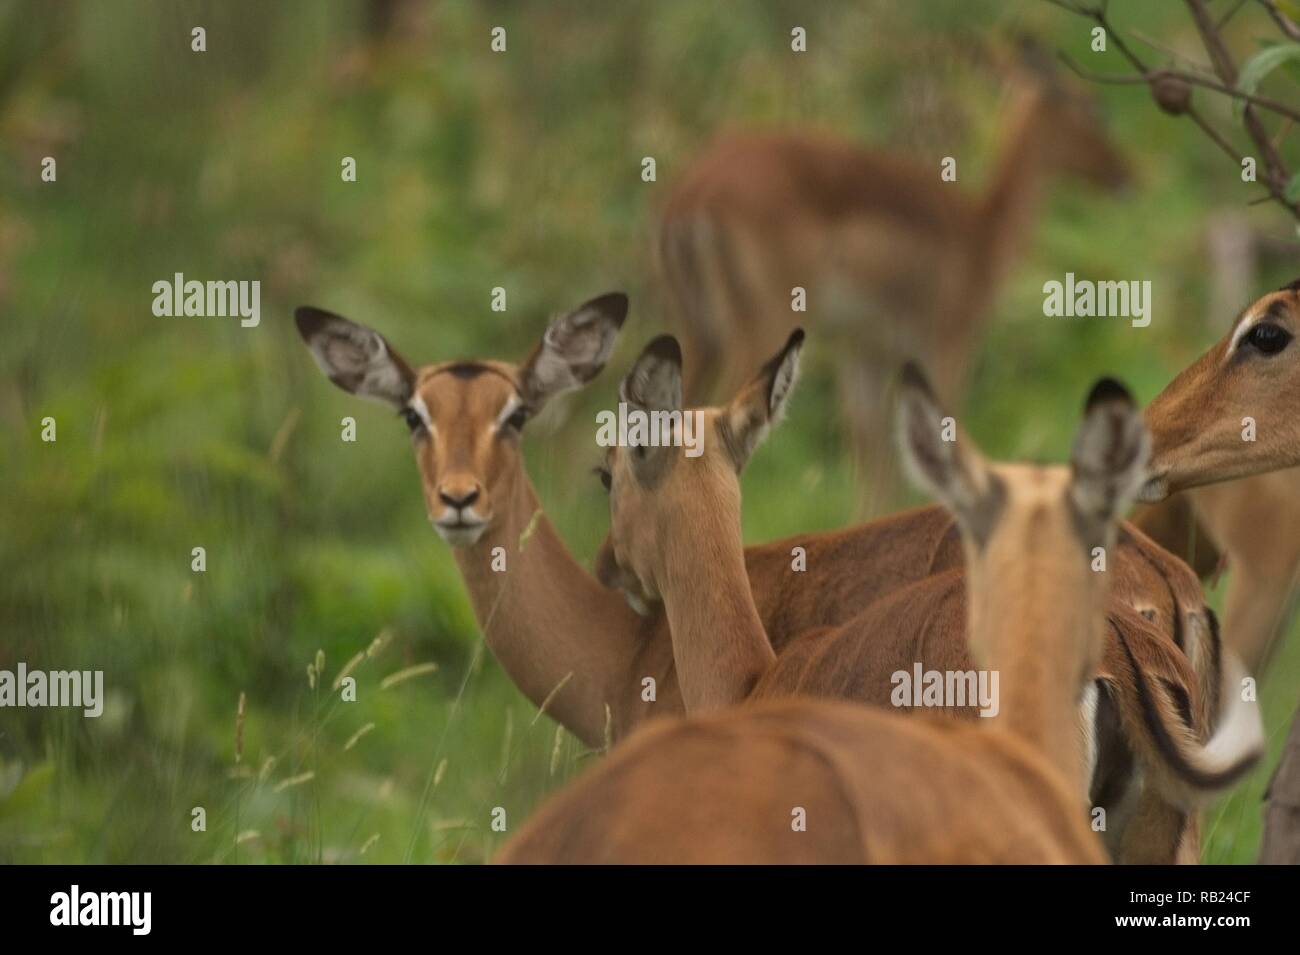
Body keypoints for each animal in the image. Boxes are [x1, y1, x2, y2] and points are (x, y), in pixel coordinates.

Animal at [657, 43, 1130, 507]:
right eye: (1092, 106)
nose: (1126, 174)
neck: (984, 230)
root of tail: (693, 192)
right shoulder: (948, 346)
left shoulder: (865, 352)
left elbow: (872, 456)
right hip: (756, 333)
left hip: (699, 333)